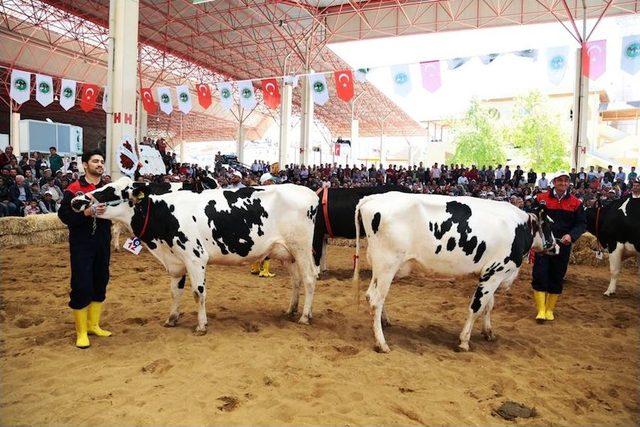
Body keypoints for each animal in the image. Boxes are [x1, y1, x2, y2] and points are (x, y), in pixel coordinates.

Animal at [72, 177, 320, 334]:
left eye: (110, 191)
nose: (76, 200)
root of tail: (311, 193)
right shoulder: (175, 261)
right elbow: (175, 292)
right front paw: (171, 319)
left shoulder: (195, 258)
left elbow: (197, 293)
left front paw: (201, 325)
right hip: (287, 253)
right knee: (296, 281)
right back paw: (290, 310)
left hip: (301, 248)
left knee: (309, 279)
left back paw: (305, 316)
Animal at [352, 195, 556, 354]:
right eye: (549, 225)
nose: (557, 246)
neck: (520, 228)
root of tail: (373, 197)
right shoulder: (494, 272)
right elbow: (476, 307)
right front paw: (464, 341)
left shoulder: (491, 275)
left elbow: (488, 306)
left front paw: (488, 332)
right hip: (387, 264)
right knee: (376, 300)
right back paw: (381, 343)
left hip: (380, 268)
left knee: (372, 296)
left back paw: (384, 323)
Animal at [528, 172, 584, 322]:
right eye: (549, 222)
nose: (556, 247)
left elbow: (580, 223)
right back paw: (543, 313)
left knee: (555, 284)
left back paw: (548, 313)